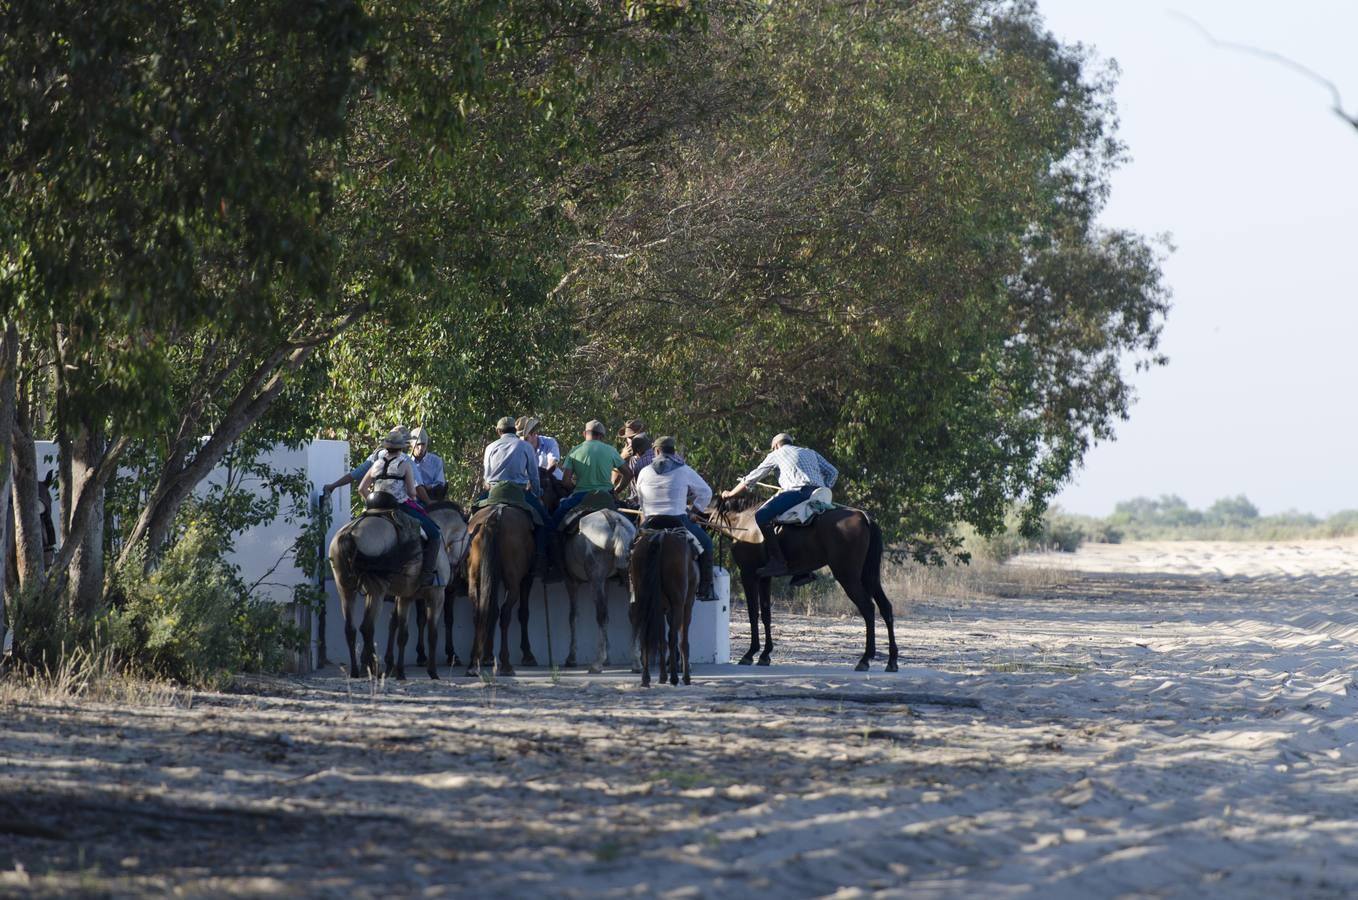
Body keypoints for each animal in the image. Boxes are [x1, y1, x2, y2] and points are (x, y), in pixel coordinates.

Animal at [328, 510, 450, 678]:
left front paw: (400, 672)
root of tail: (349, 533)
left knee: (350, 629)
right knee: (367, 628)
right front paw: (432, 672)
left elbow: (403, 634)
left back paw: (356, 671)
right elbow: (432, 633)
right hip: (376, 592)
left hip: (346, 590)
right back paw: (375, 669)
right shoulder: (437, 595)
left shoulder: (406, 597)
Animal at [461, 507, 535, 676]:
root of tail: (496, 515)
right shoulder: (527, 578)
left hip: (475, 576)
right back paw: (506, 664)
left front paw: (487, 656)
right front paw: (528, 655)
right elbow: (523, 613)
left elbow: (492, 610)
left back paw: (473, 663)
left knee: (479, 612)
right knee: (505, 613)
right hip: (513, 581)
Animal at [564, 510, 638, 673]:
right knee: (632, 613)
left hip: (595, 579)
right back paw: (636, 662)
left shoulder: (571, 581)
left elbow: (573, 616)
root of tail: (614, 521)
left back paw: (597, 663)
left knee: (600, 615)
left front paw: (571, 658)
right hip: (627, 577)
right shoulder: (606, 582)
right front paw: (608, 658)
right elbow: (608, 616)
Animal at [627, 529, 695, 689]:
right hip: (678, 604)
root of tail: (660, 537)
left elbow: (661, 642)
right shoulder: (686, 605)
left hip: (645, 603)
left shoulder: (661, 609)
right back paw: (675, 678)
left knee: (646, 636)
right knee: (673, 638)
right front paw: (685, 677)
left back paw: (646, 678)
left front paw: (662, 676)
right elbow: (682, 642)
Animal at [700, 496, 901, 673]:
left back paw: (865, 659)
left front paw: (750, 654)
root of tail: (864, 518)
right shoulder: (764, 578)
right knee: (886, 608)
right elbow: (766, 614)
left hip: (848, 576)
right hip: (870, 577)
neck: (743, 522)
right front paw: (765, 655)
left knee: (868, 608)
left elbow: (753, 614)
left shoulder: (748, 575)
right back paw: (891, 661)